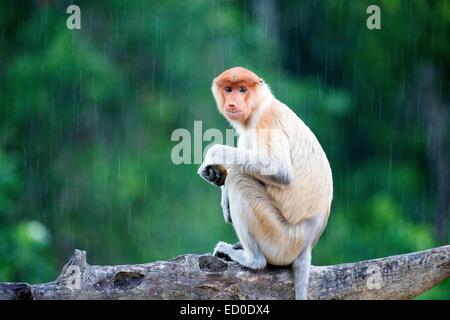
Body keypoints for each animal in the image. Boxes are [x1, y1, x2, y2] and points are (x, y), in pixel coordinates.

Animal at [199, 66, 332, 298]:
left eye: (242, 89)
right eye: (228, 89)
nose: (232, 103)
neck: (259, 105)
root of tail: (307, 244)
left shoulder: (267, 121)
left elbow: (279, 171)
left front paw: (211, 158)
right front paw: (218, 178)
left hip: (281, 239)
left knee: (240, 179)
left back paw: (250, 259)